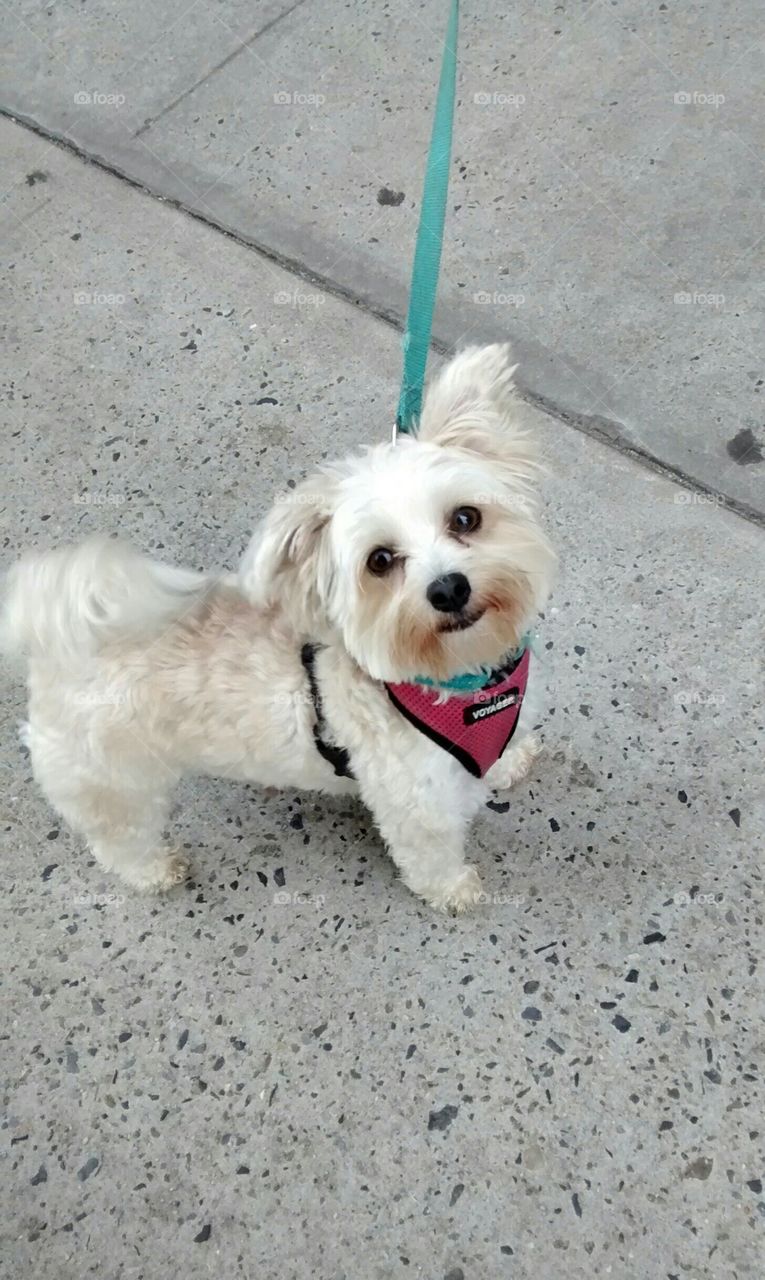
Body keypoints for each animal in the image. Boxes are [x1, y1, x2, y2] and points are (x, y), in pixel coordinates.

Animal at [1, 345, 557, 916]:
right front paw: (455, 891)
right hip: (114, 784)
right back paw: (154, 871)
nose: (448, 589)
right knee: (120, 838)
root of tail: (54, 633)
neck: (462, 683)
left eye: (465, 518)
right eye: (380, 561)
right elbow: (433, 856)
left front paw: (508, 763)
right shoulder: (418, 806)